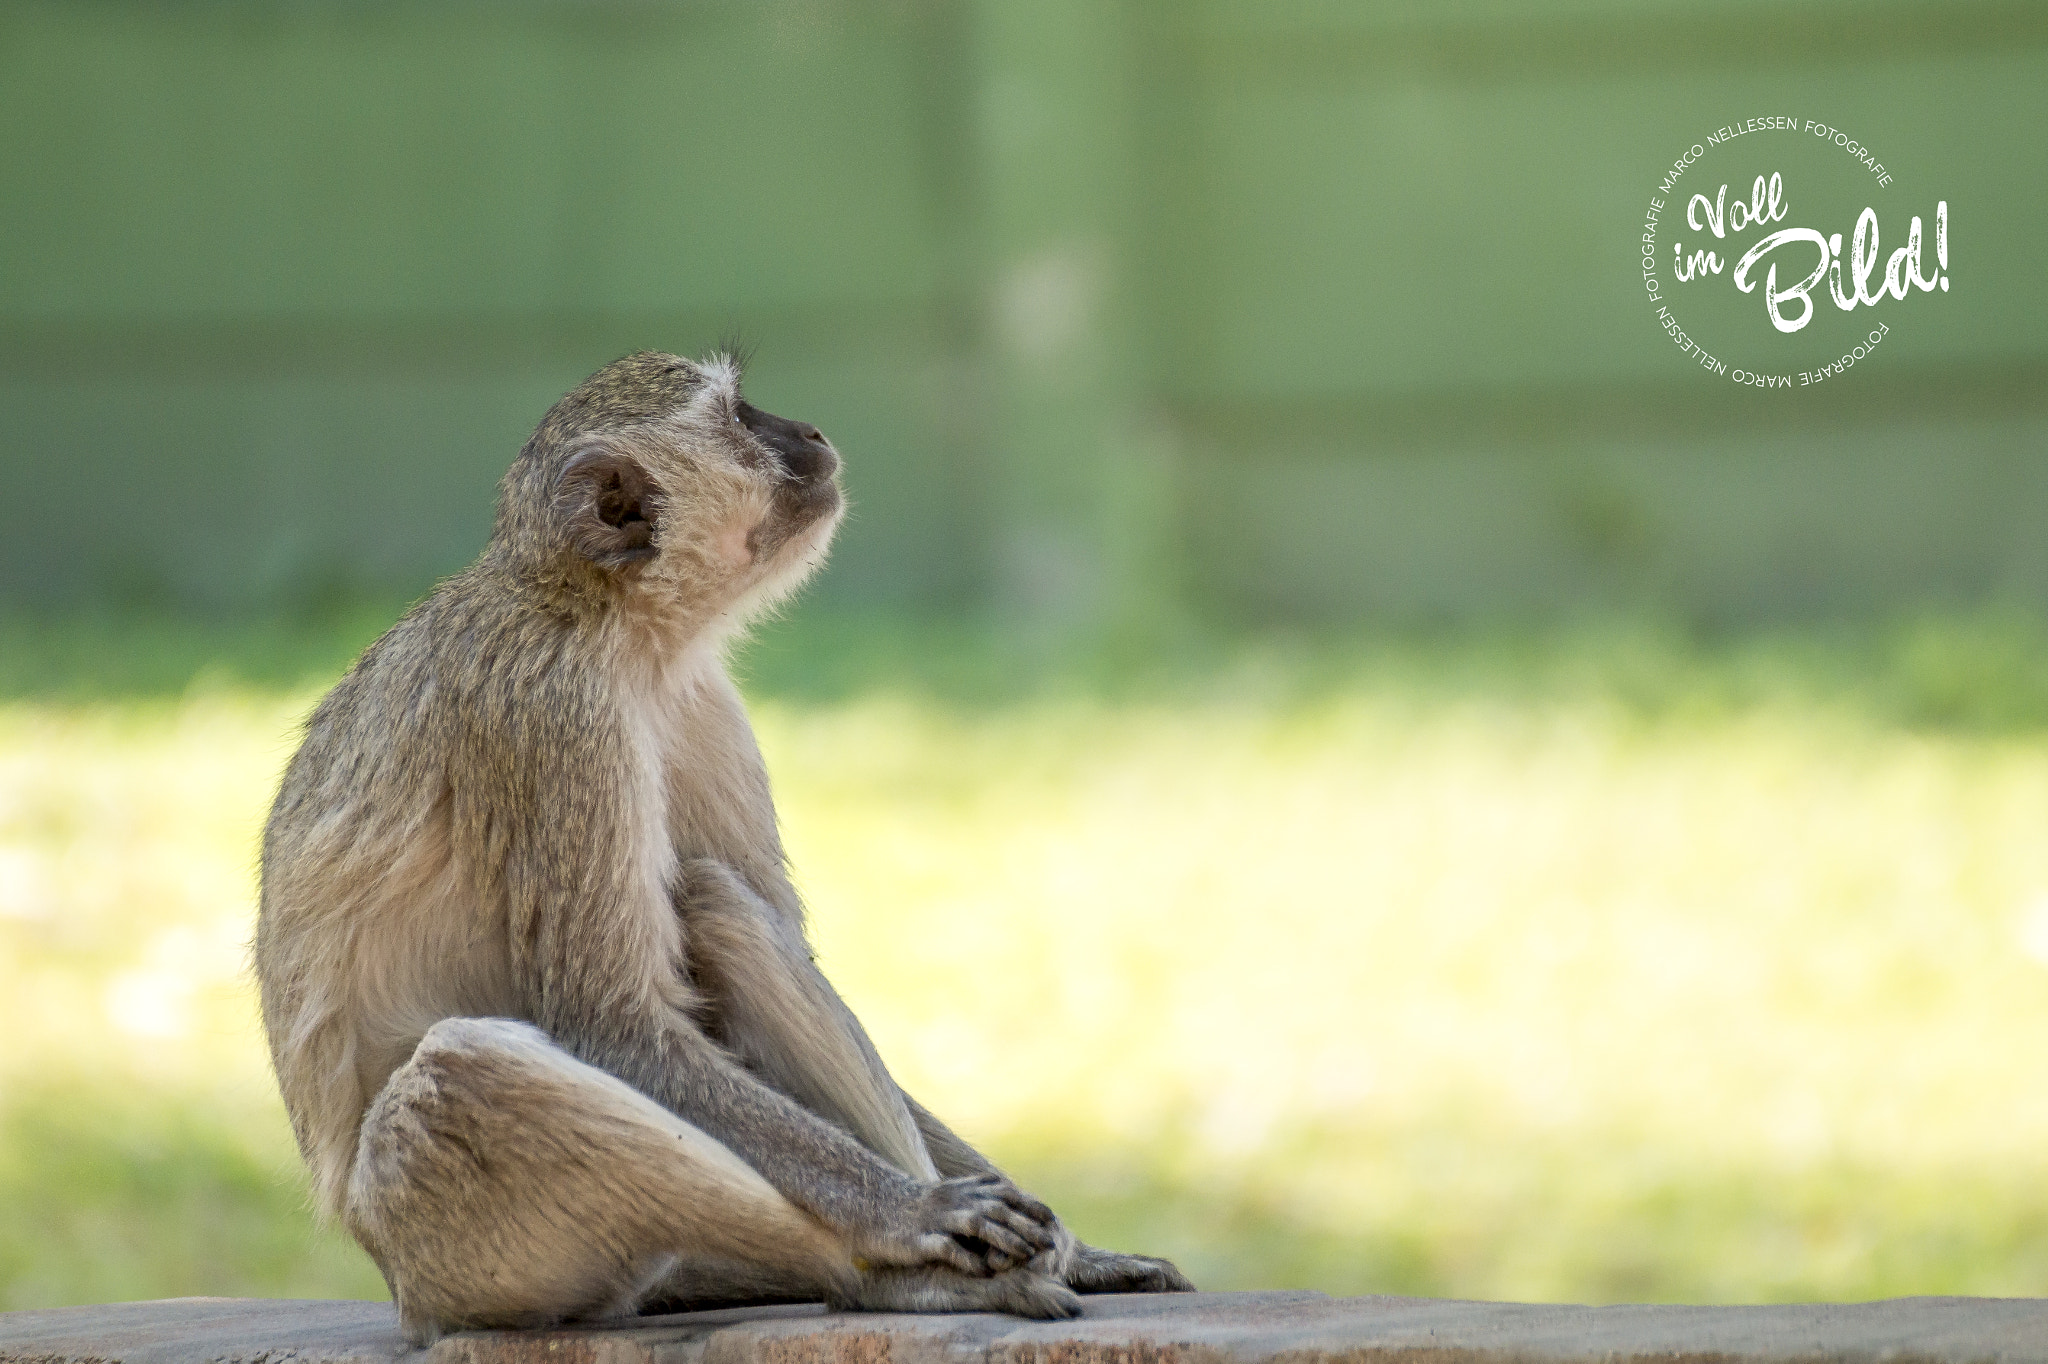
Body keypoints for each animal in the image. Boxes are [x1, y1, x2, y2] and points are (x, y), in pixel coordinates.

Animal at [260, 348, 1187, 1335]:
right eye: (743, 416)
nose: (810, 430)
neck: (605, 618)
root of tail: (398, 1288)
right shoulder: (553, 715)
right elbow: (615, 1027)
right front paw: (916, 1212)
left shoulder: (704, 704)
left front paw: (1075, 1244)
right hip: (447, 1245)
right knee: (469, 1073)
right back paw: (887, 1272)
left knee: (717, 906)